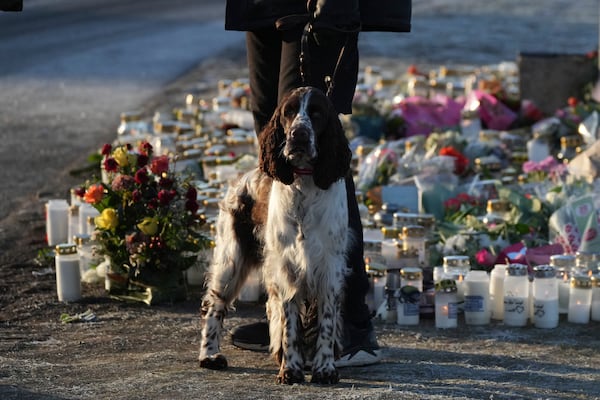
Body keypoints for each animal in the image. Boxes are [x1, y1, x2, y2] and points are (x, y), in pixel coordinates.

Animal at [199, 87, 354, 384]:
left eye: (316, 113)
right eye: (288, 112)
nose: (299, 135)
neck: (305, 184)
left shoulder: (329, 267)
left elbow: (326, 323)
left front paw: (324, 368)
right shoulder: (287, 265)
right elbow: (290, 323)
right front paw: (291, 369)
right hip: (231, 260)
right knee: (216, 305)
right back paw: (209, 355)